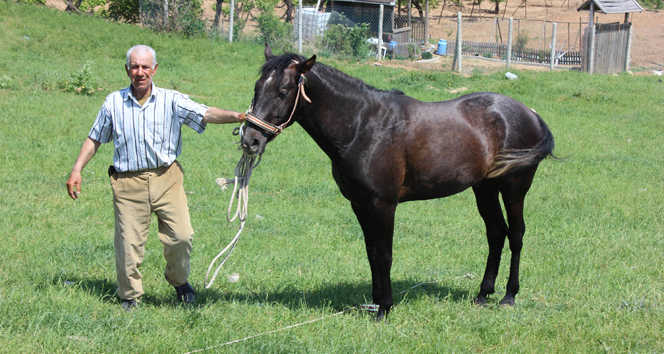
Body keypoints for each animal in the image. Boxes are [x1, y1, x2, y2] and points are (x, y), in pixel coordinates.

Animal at [239, 45, 556, 320]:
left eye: (282, 92)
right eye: (257, 89)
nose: (250, 140)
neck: (363, 126)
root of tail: (530, 114)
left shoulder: (384, 204)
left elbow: (384, 254)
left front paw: (384, 308)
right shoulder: (359, 204)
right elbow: (371, 252)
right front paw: (376, 300)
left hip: (514, 188)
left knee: (516, 235)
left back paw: (509, 296)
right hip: (484, 189)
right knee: (496, 233)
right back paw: (482, 295)